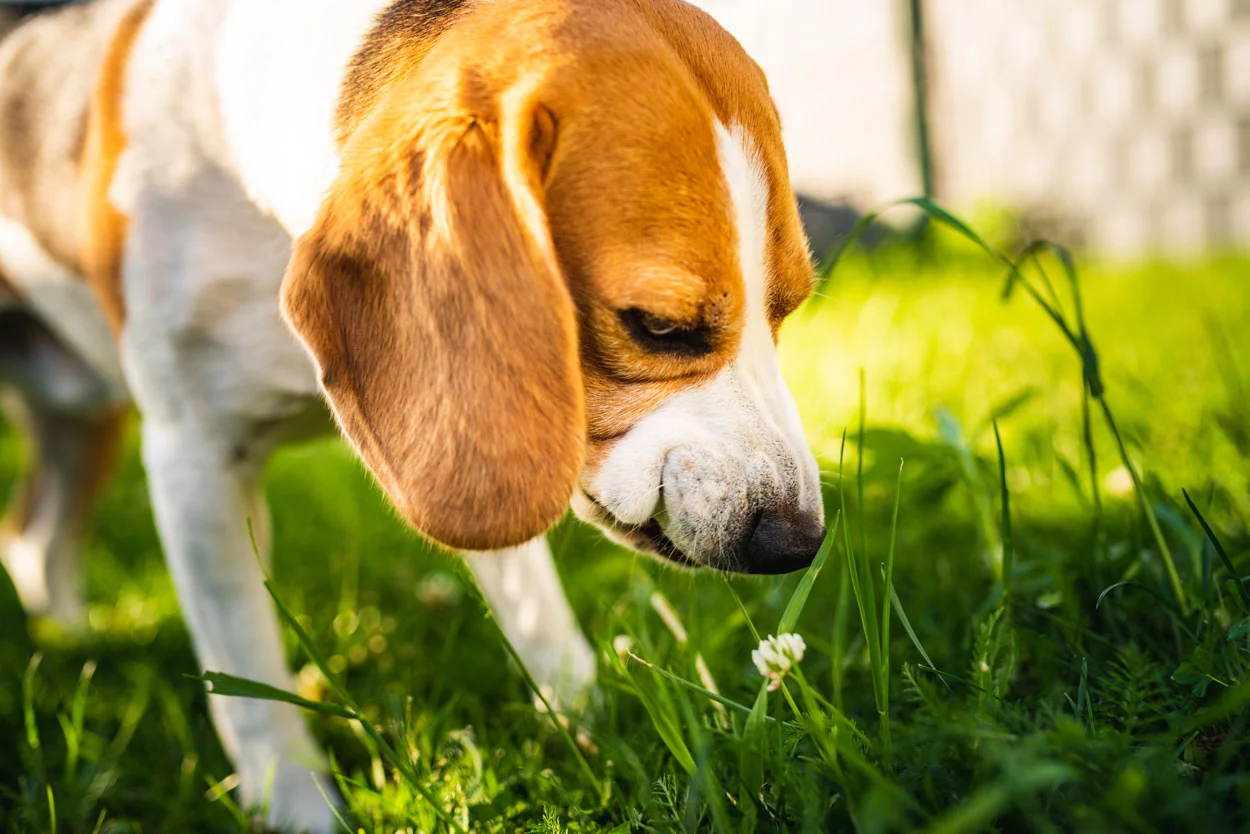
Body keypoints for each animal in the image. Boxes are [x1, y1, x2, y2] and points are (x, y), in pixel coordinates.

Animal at [0, 0, 825, 830]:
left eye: (787, 307)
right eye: (656, 327)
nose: (796, 541)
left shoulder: (476, 446)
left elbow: (538, 611)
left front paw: (594, 731)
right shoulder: (193, 462)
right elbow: (251, 683)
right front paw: (299, 809)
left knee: (34, 542)